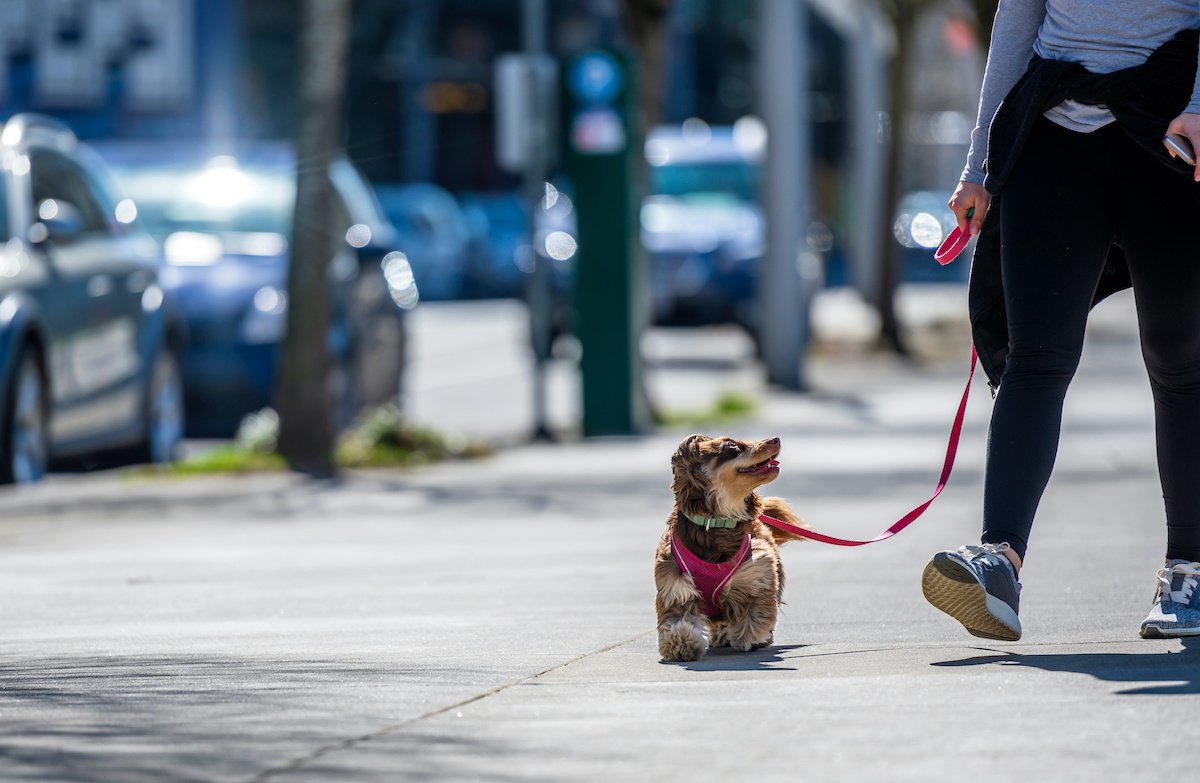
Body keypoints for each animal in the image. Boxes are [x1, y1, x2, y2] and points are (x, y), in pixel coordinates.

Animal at [657, 434, 806, 662]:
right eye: (731, 446)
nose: (775, 439)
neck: (715, 522)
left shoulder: (756, 574)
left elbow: (755, 614)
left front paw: (750, 638)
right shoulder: (675, 586)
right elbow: (679, 620)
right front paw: (681, 644)